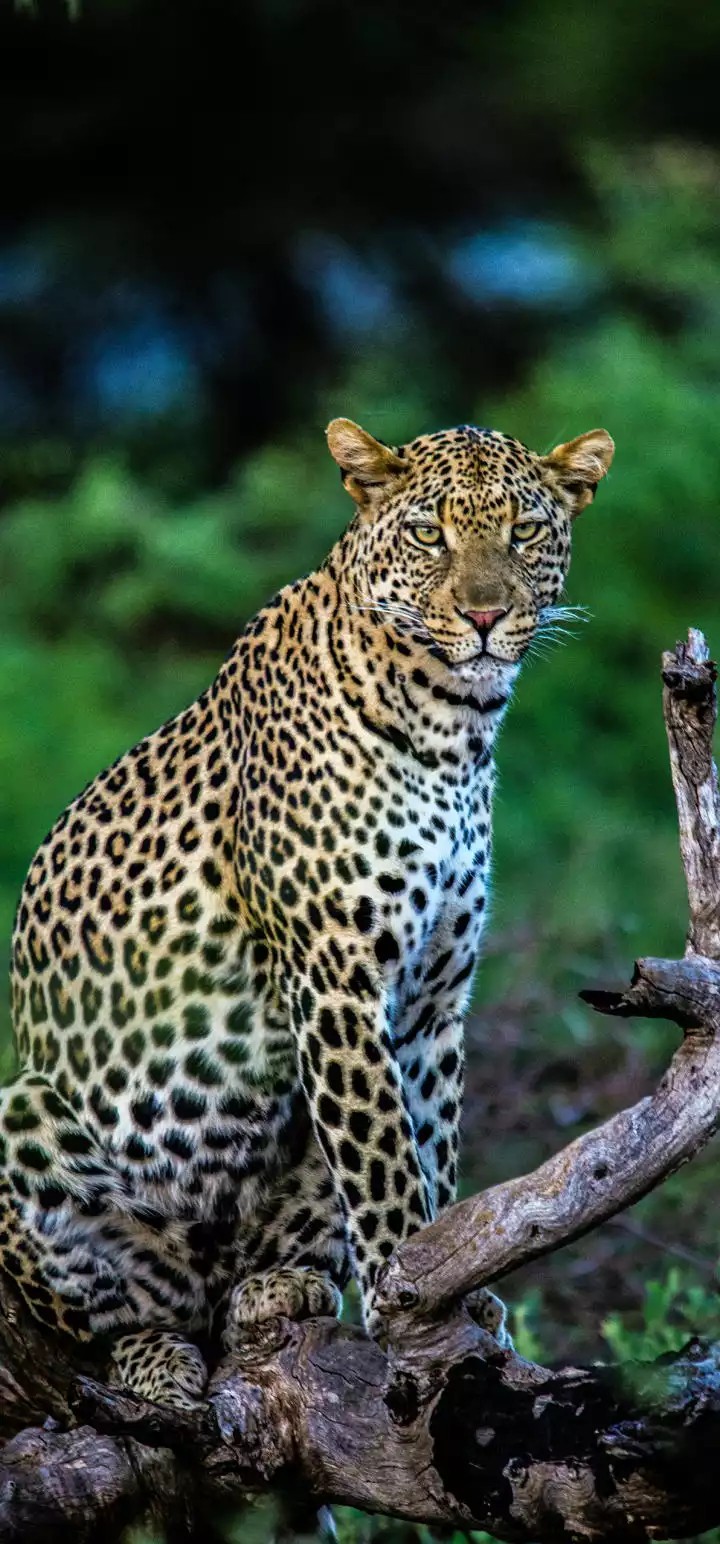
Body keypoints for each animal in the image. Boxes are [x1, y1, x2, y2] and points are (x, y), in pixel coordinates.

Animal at [1, 415, 614, 1408]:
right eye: (429, 535)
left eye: (524, 532)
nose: (485, 617)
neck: (456, 724)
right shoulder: (335, 978)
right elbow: (386, 1165)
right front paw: (411, 1300)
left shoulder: (433, 1002)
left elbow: (430, 1146)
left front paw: (454, 1293)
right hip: (25, 1113)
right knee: (115, 1319)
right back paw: (158, 1359)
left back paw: (281, 1284)